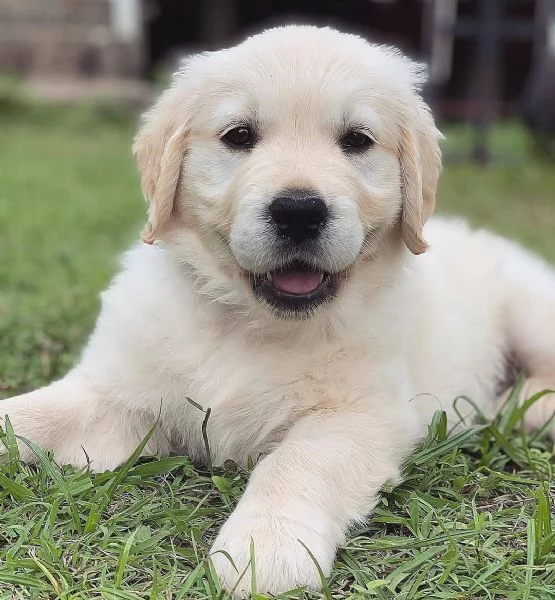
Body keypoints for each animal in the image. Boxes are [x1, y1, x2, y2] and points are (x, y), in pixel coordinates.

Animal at [1, 24, 555, 596]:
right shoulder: (118, 393)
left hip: (529, 308)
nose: (299, 211)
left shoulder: (360, 413)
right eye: (239, 136)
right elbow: (31, 415)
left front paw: (263, 547)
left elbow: (298, 462)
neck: (249, 322)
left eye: (357, 140)